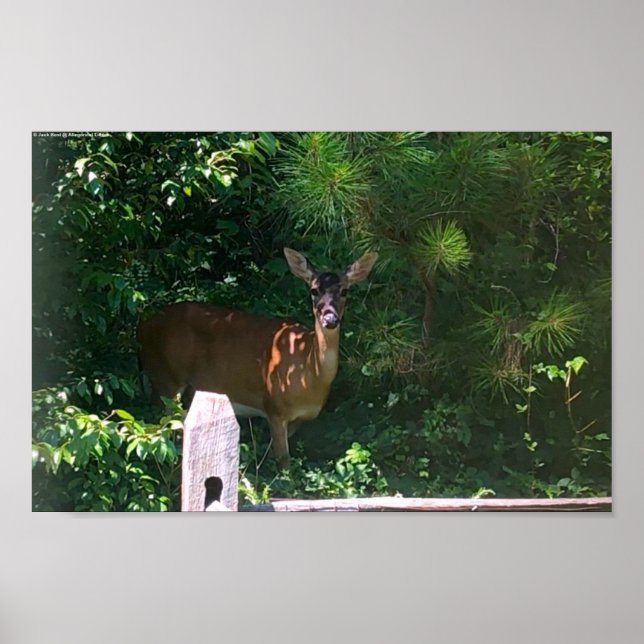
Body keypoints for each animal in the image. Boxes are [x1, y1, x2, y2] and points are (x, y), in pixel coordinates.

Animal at [137, 248, 378, 469]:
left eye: (344, 291)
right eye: (314, 290)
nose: (330, 319)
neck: (308, 373)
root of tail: (143, 326)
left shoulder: (300, 419)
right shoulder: (274, 406)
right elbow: (284, 463)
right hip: (165, 376)